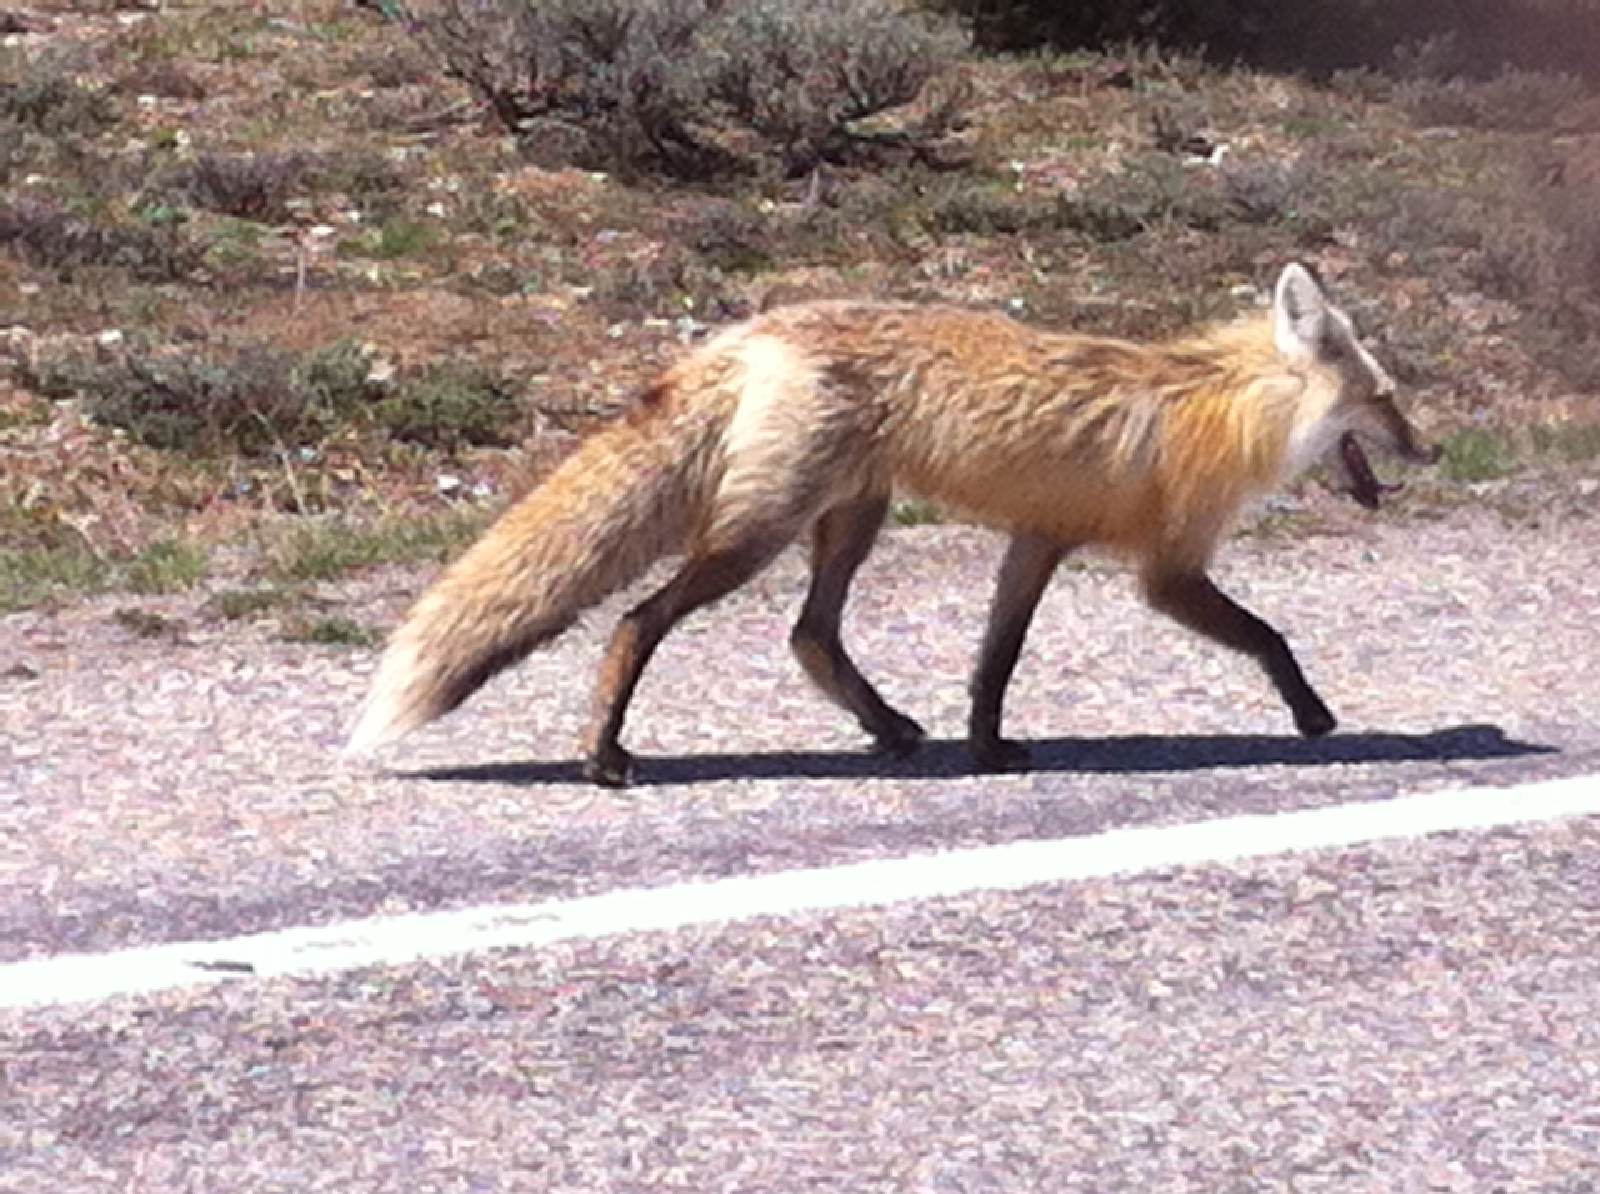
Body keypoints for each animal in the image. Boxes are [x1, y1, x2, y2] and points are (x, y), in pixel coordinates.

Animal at [347, 260, 1440, 781]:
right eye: (1386, 401)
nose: (1429, 451)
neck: (1220, 405)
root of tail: (755, 330)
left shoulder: (1038, 539)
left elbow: (993, 665)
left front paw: (988, 747)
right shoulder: (1166, 570)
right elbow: (1271, 637)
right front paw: (1312, 717)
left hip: (849, 521)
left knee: (810, 635)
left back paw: (888, 729)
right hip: (757, 537)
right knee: (635, 620)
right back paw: (605, 756)